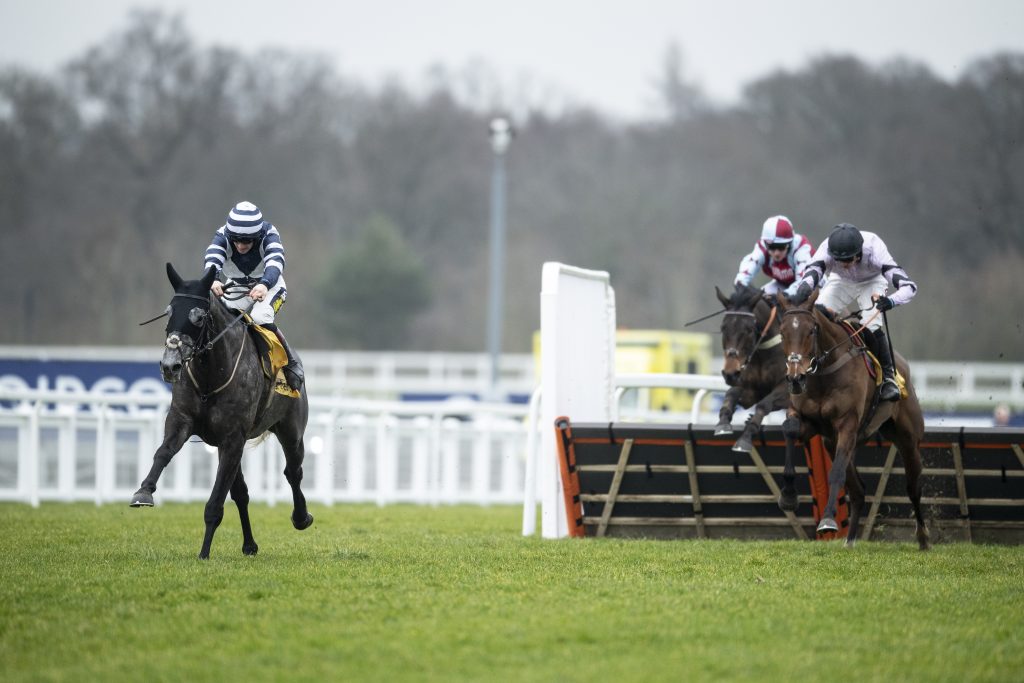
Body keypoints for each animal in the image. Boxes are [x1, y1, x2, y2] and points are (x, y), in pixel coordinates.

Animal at [133, 264, 315, 557]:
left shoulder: (233, 438)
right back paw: (249, 544)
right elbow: (163, 452)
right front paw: (144, 491)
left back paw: (301, 517)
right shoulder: (183, 421)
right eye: (169, 312)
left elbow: (215, 503)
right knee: (241, 492)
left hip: (291, 430)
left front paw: (204, 553)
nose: (170, 365)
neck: (211, 375)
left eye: (198, 317)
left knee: (293, 472)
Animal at [778, 288, 933, 548]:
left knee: (913, 487)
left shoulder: (847, 424)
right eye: (782, 332)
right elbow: (789, 429)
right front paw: (788, 495)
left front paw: (827, 520)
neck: (824, 374)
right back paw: (849, 540)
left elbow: (836, 474)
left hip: (908, 440)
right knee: (859, 490)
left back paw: (923, 539)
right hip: (833, 443)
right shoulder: (811, 423)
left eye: (811, 330)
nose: (795, 378)